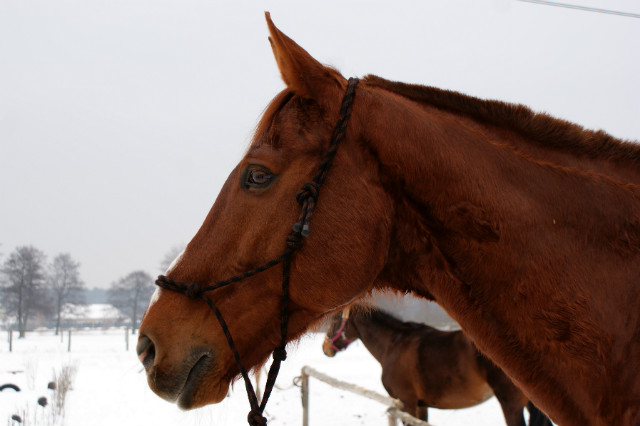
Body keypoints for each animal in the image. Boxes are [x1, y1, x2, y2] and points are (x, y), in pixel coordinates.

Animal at [322, 306, 552, 426]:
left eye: (334, 320)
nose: (325, 348)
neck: (393, 345)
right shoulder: (421, 405)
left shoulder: (407, 402)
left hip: (511, 404)